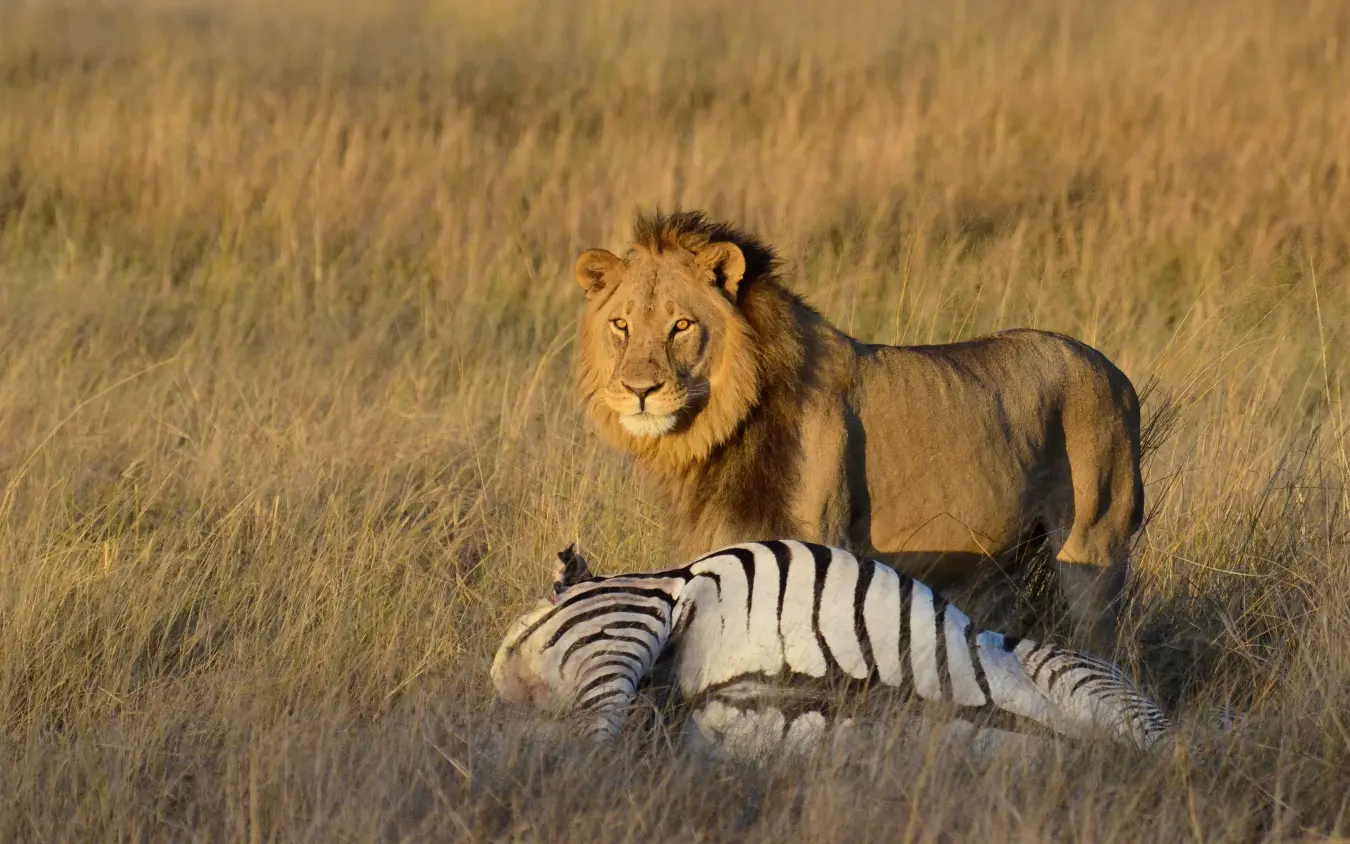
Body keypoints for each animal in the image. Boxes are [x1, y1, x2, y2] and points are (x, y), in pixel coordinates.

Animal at [573, 210, 1144, 656]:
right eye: (621, 325)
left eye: (682, 326)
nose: (639, 389)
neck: (724, 430)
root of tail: (1114, 371)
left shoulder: (818, 542)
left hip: (1094, 546)